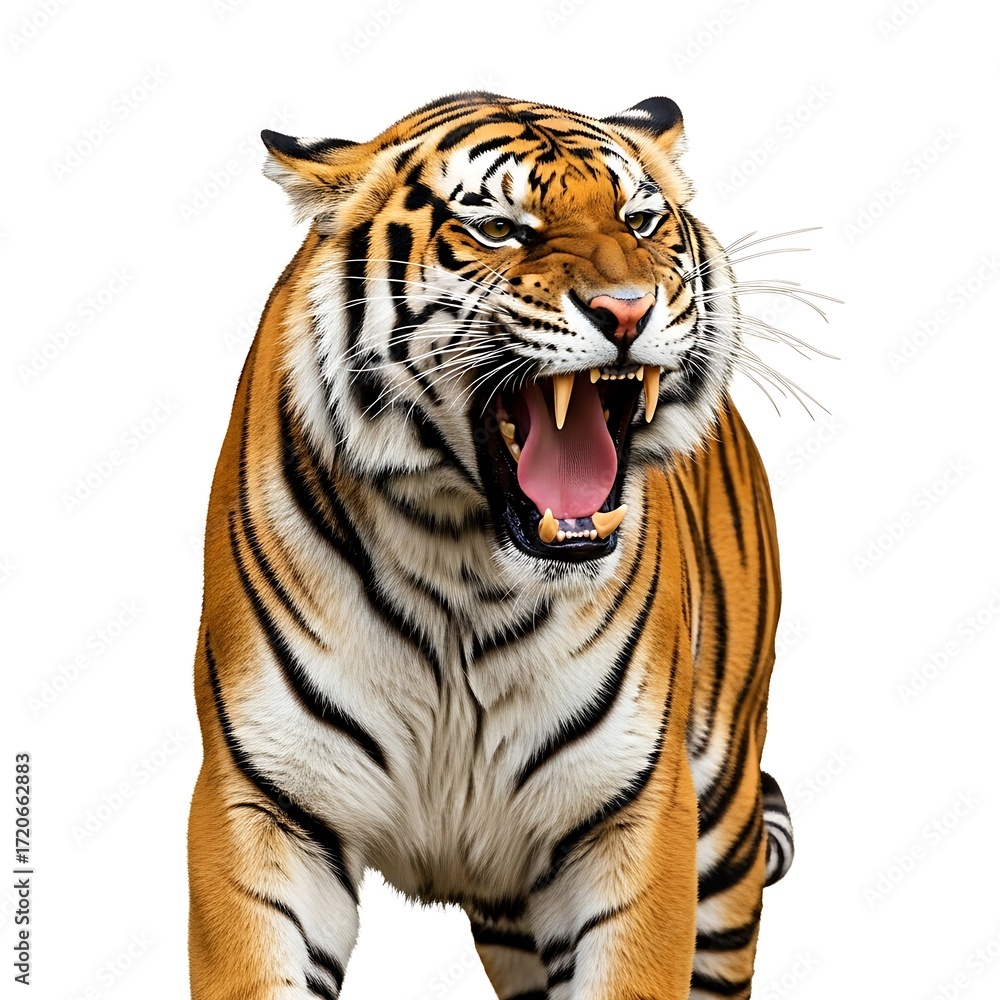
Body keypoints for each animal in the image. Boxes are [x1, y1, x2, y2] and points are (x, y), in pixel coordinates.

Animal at [187, 91, 795, 1000]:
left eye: (641, 220)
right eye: (500, 229)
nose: (628, 310)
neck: (463, 564)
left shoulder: (633, 813)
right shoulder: (265, 807)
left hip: (721, 826)